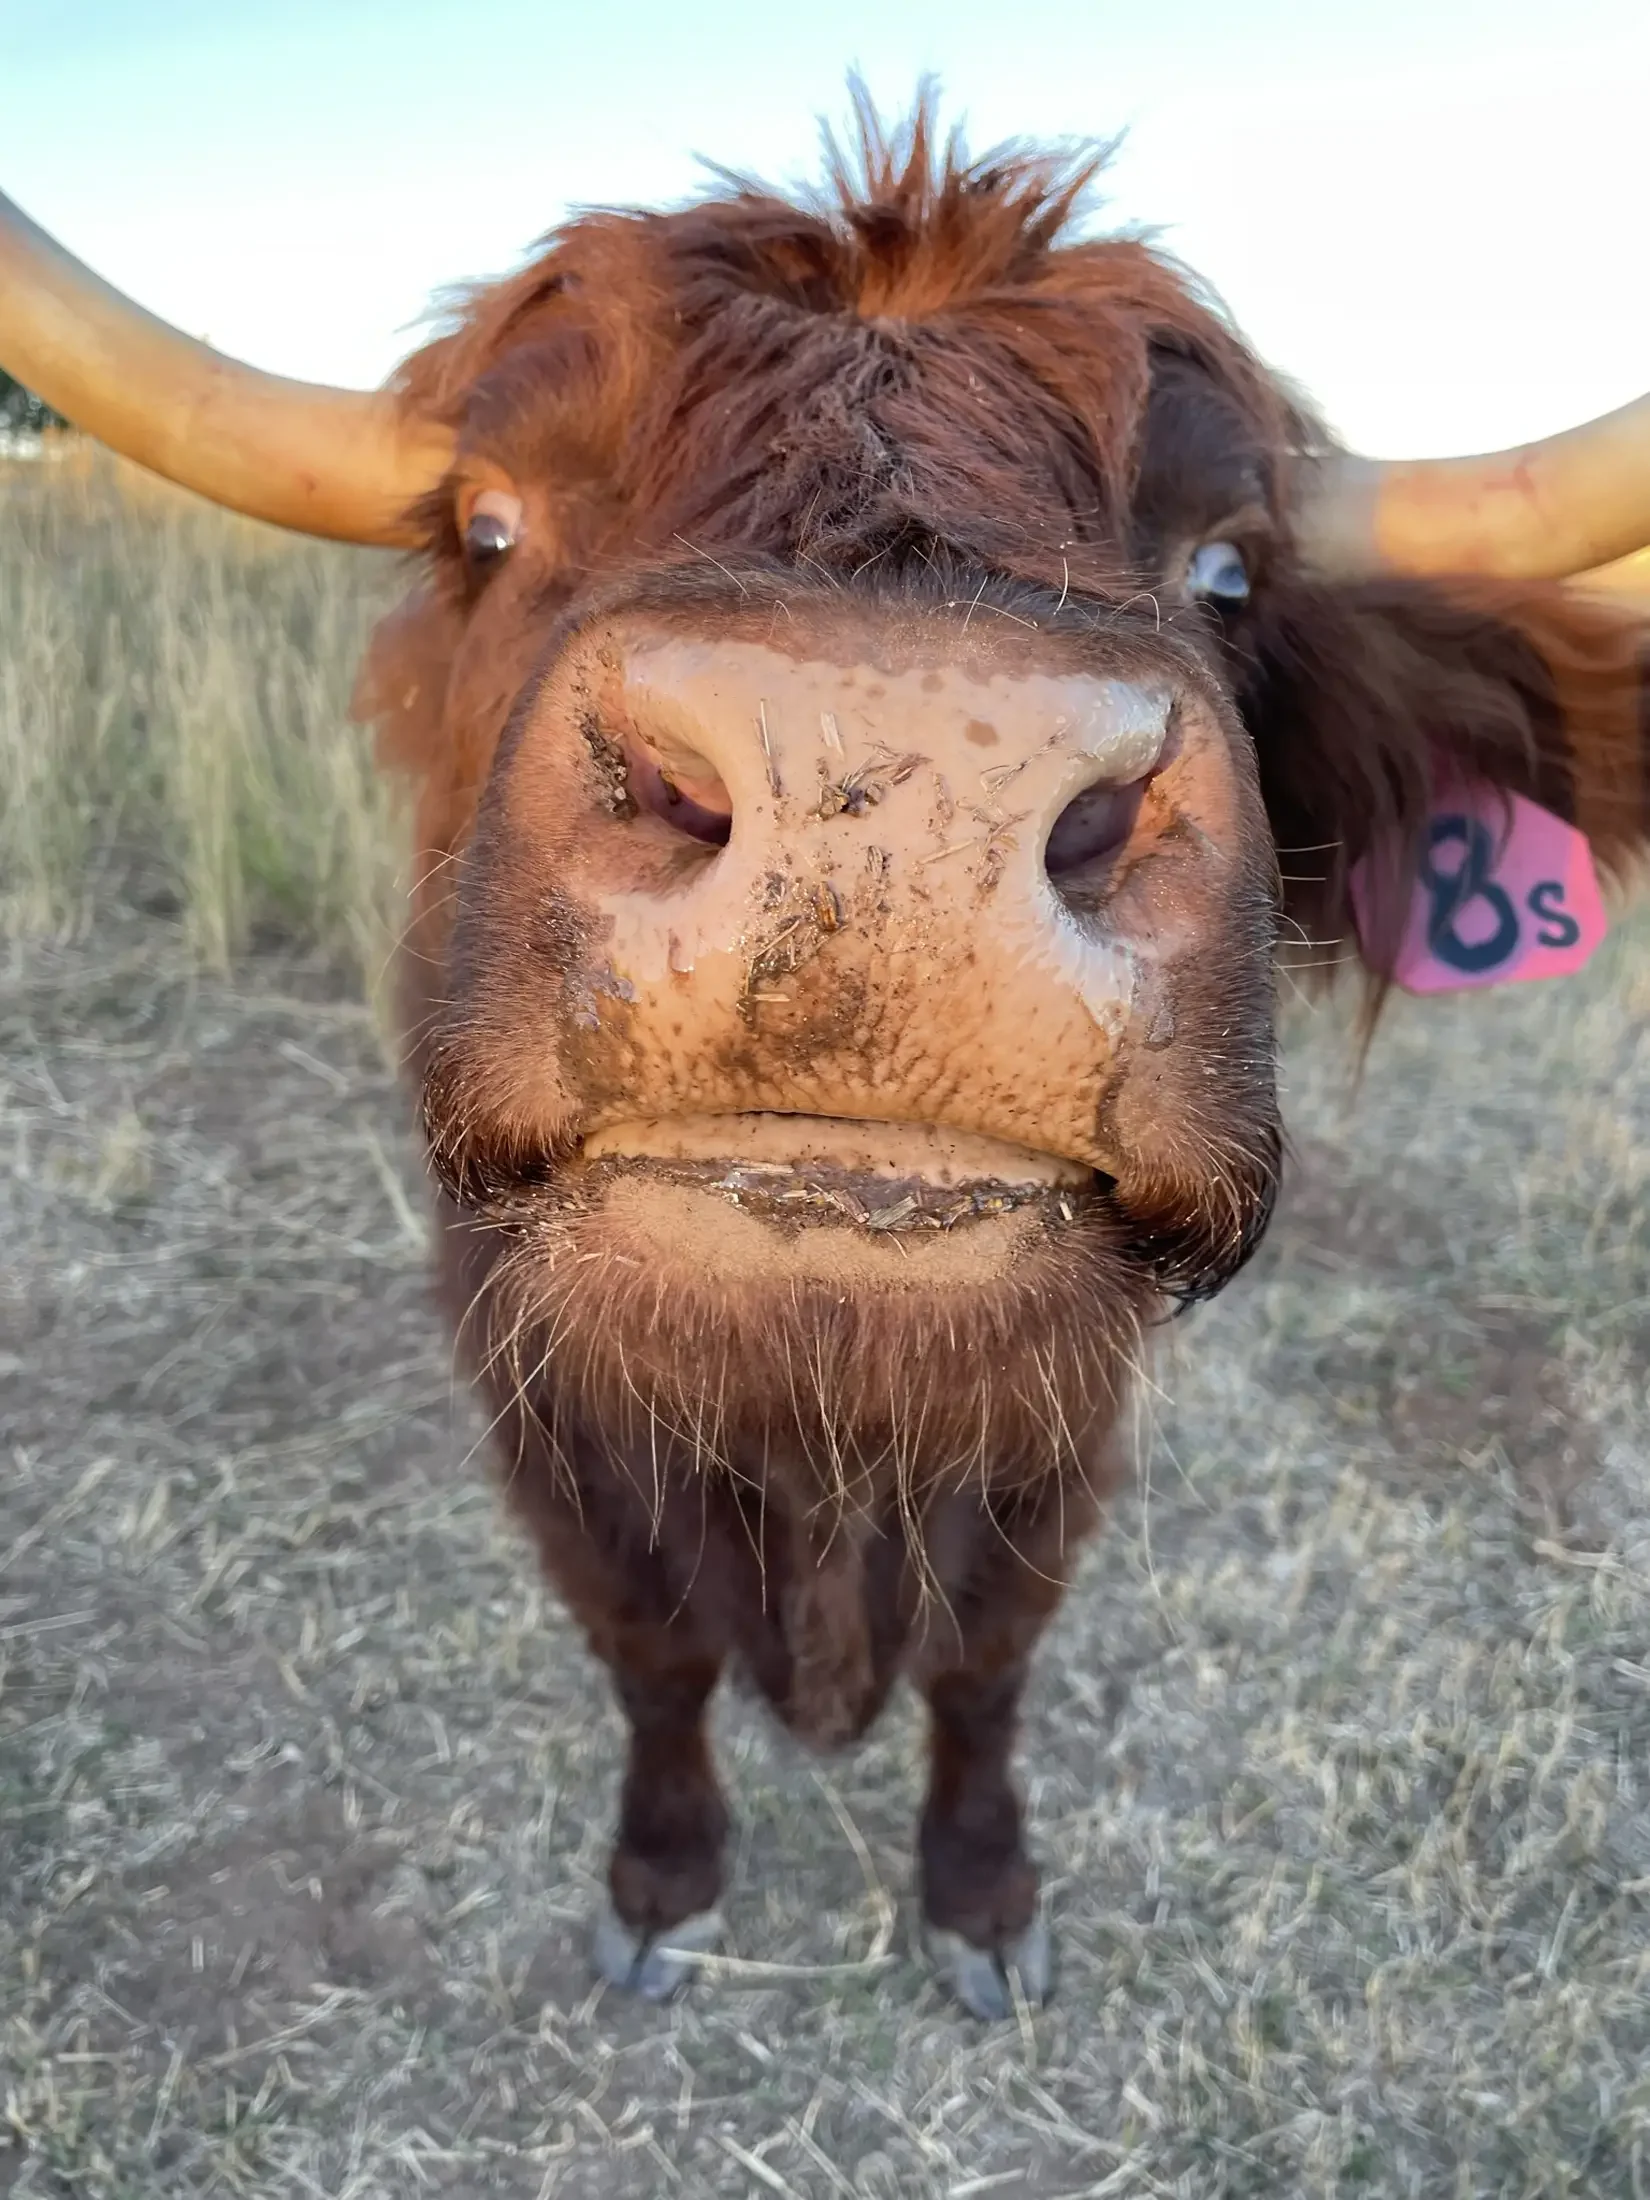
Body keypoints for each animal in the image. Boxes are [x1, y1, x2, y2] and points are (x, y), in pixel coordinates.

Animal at [5, 106, 1648, 2020]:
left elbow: (986, 1665)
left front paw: (982, 1897)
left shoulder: (1058, 1444)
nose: (890, 794)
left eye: (1229, 569)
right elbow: (650, 1651)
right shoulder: (535, 1414)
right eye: (487, 521)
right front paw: (660, 1882)